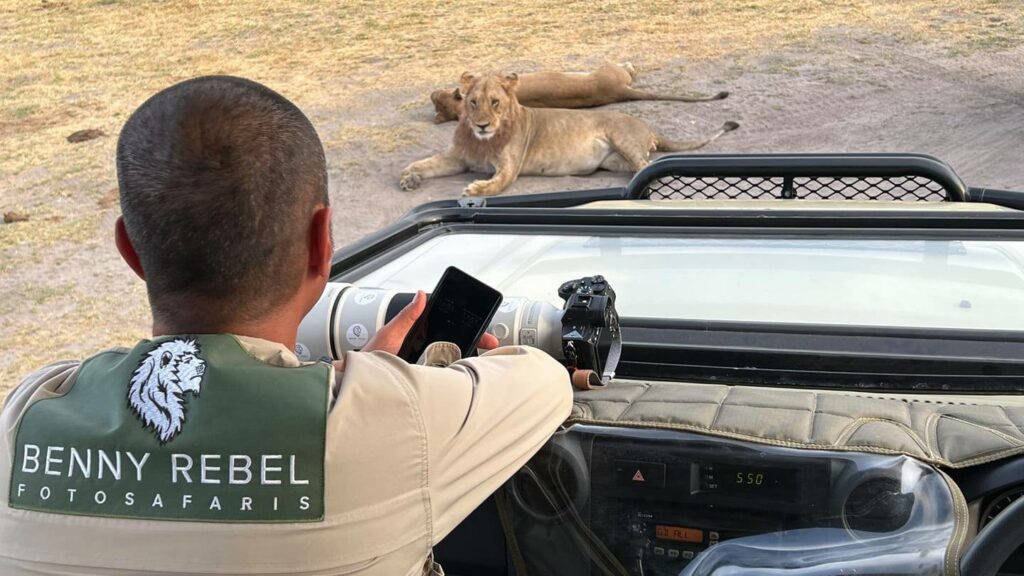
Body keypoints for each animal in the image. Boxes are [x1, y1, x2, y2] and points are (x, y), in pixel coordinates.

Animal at [397, 70, 737, 195]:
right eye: (473, 103)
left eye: (495, 103)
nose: (482, 125)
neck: (482, 141)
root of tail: (650, 128)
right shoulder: (458, 158)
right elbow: (424, 163)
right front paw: (409, 177)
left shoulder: (509, 167)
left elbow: (497, 183)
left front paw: (477, 189)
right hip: (614, 161)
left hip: (621, 137)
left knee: (647, 165)